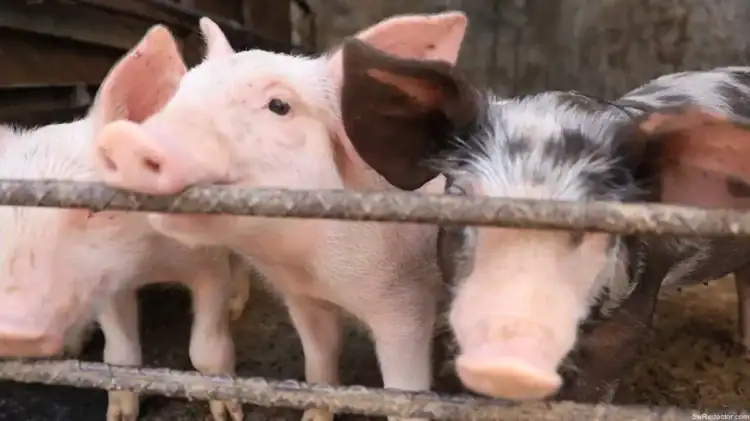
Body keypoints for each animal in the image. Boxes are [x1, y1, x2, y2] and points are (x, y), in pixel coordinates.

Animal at [0, 26, 251, 421]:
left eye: (93, 208)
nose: (10, 332)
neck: (149, 263)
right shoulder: (106, 281)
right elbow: (120, 356)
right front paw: (119, 415)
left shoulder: (207, 263)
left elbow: (207, 350)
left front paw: (229, 413)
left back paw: (237, 306)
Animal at [91, 12, 469, 421]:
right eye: (181, 92)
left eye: (278, 105)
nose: (123, 138)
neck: (313, 268)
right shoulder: (300, 298)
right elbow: (319, 359)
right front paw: (314, 414)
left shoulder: (405, 302)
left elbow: (404, 392)